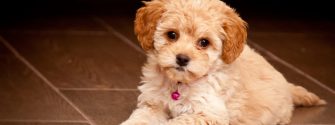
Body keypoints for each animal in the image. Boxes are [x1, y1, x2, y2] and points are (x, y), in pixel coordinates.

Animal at [121, 0, 328, 124]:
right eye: (172, 35)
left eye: (204, 42)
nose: (182, 58)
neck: (179, 84)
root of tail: (286, 84)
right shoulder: (152, 103)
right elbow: (141, 118)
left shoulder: (210, 113)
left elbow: (179, 121)